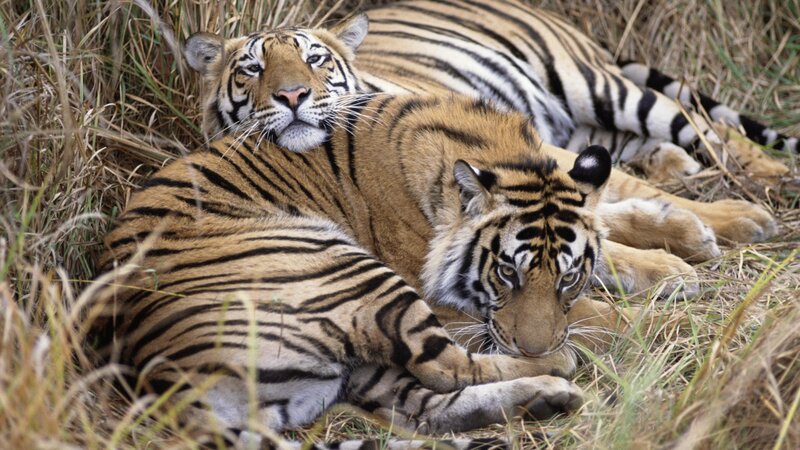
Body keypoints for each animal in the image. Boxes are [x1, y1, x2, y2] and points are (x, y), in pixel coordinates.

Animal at [356, 0, 796, 182]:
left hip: (589, 84)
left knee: (700, 123)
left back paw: (769, 172)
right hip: (579, 125)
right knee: (629, 140)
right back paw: (676, 164)